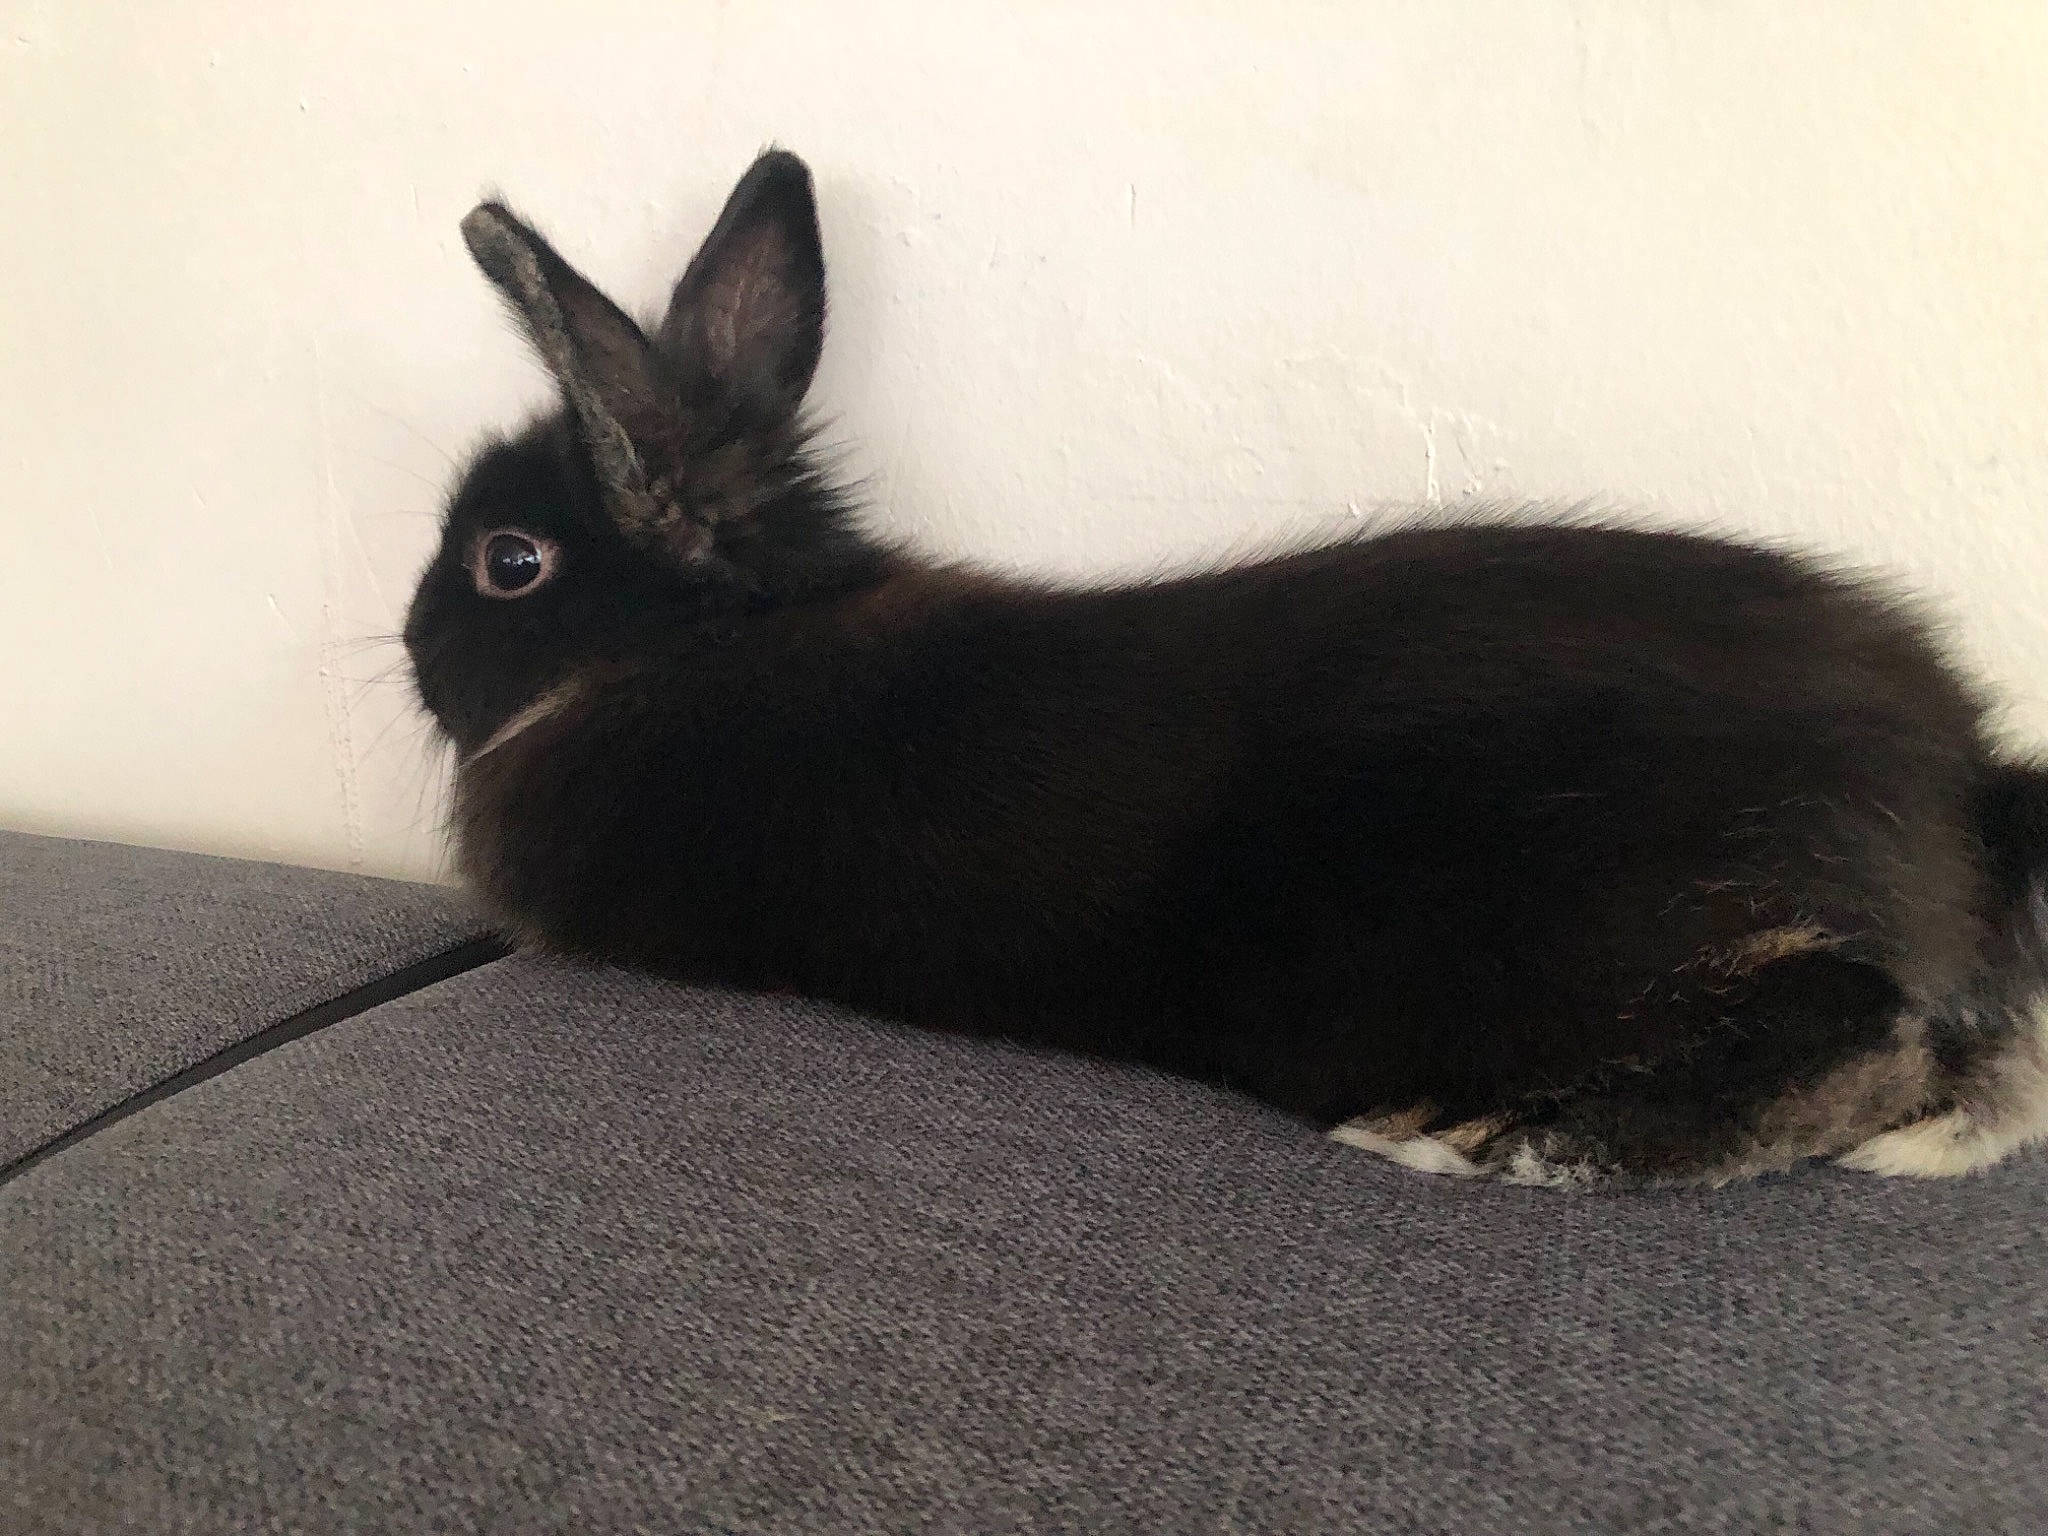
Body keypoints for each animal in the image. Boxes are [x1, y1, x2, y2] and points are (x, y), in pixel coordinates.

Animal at [405, 148, 2048, 1189]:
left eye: (509, 562)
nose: (412, 652)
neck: (693, 642)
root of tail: (1961, 779)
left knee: (1865, 1039)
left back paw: (1504, 1141)